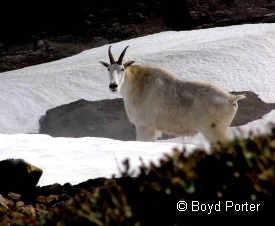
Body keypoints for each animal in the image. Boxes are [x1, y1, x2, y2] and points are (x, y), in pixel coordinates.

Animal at [99, 45, 246, 144]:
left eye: (122, 69)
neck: (136, 84)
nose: (113, 85)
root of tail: (231, 99)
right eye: (108, 69)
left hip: (215, 131)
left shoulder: (145, 127)